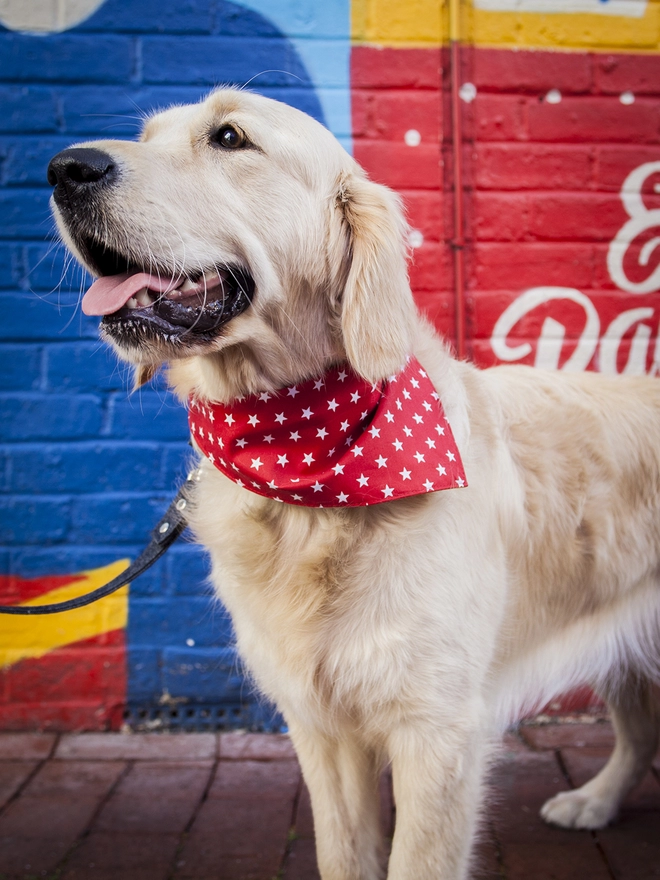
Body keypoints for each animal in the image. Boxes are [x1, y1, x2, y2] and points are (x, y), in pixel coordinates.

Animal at [47, 91, 660, 880]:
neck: (306, 465)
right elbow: (345, 854)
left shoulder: (437, 731)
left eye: (229, 137)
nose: (64, 167)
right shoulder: (320, 727)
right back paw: (594, 801)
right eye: (147, 134)